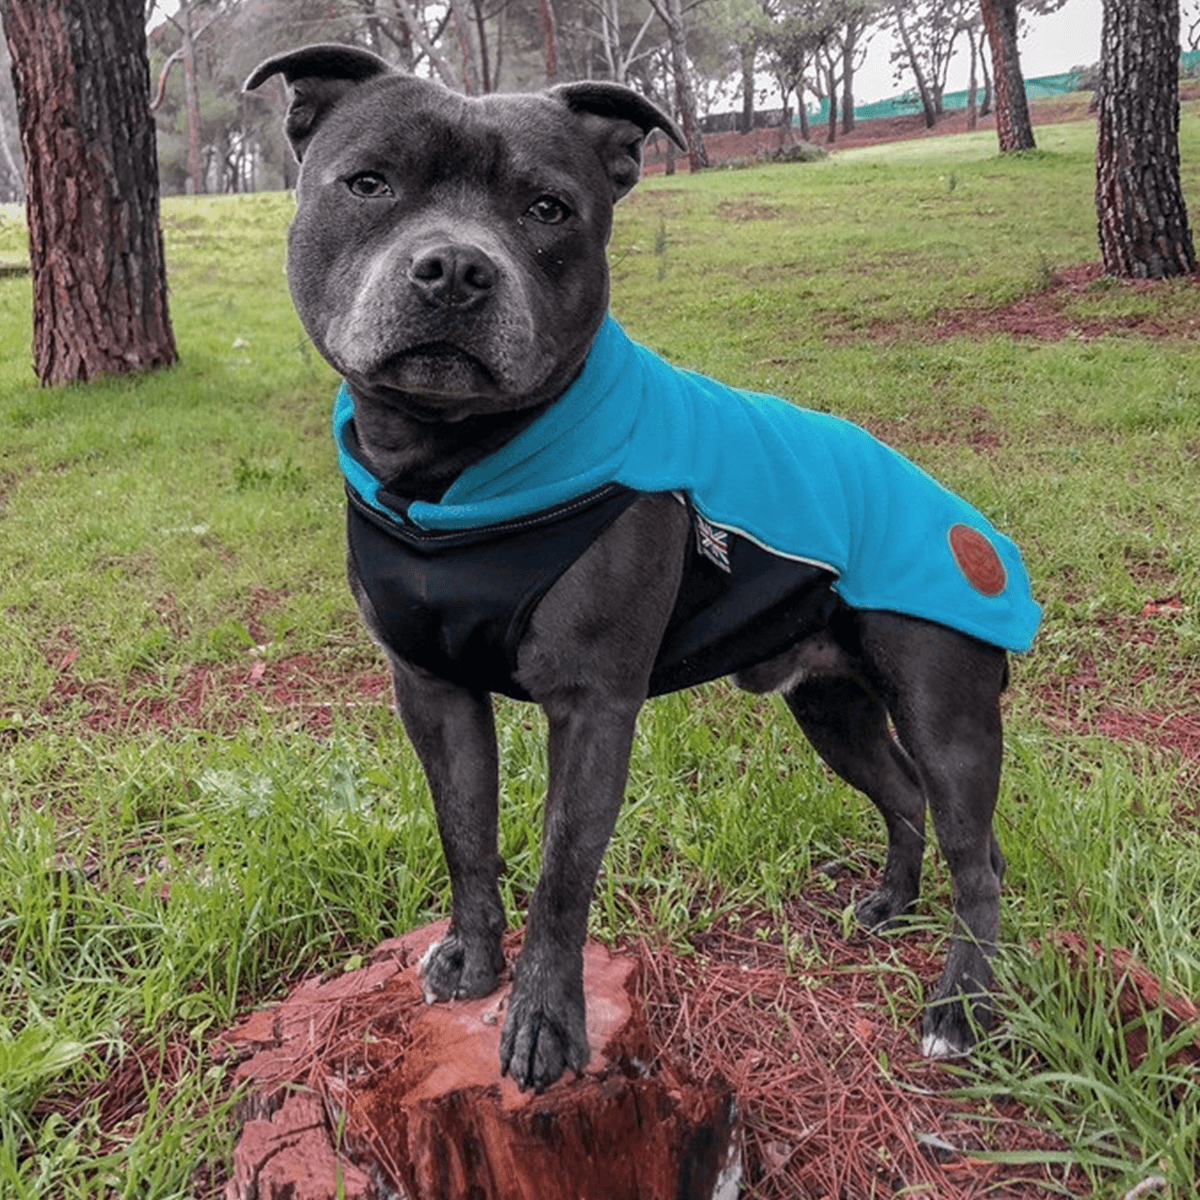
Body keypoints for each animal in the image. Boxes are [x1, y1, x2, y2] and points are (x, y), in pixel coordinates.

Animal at [248, 44, 1036, 1099]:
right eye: (369, 184)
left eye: (549, 208)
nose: (454, 267)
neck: (449, 470)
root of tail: (979, 532)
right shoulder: (433, 691)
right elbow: (466, 838)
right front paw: (472, 958)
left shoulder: (593, 709)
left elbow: (560, 876)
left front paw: (544, 1024)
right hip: (832, 712)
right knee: (905, 800)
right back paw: (891, 906)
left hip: (947, 716)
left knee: (975, 858)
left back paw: (961, 1007)